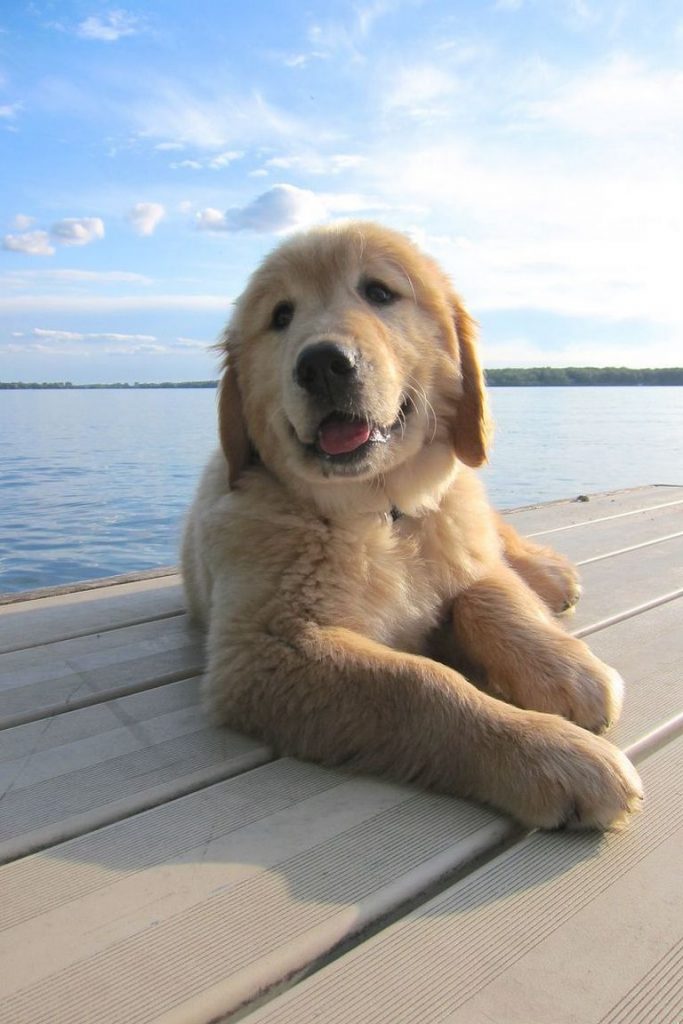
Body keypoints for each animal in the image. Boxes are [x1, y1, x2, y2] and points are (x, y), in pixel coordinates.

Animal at [181, 220, 643, 827]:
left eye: (379, 292)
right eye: (281, 315)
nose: (322, 363)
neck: (380, 513)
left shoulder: (458, 548)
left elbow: (490, 596)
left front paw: (569, 671)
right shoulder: (263, 649)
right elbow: (420, 682)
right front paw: (556, 757)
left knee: (501, 540)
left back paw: (548, 574)